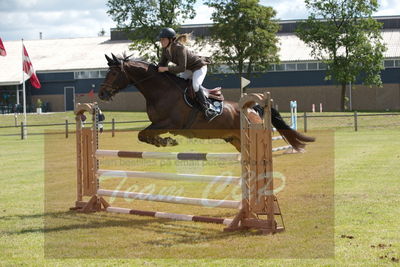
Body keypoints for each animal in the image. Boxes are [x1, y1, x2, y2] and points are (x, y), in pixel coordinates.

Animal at [98, 54, 314, 153]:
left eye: (114, 73)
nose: (101, 94)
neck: (159, 91)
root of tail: (253, 108)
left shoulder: (171, 123)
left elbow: (143, 133)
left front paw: (166, 141)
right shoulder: (158, 124)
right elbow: (143, 135)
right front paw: (163, 142)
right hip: (236, 139)